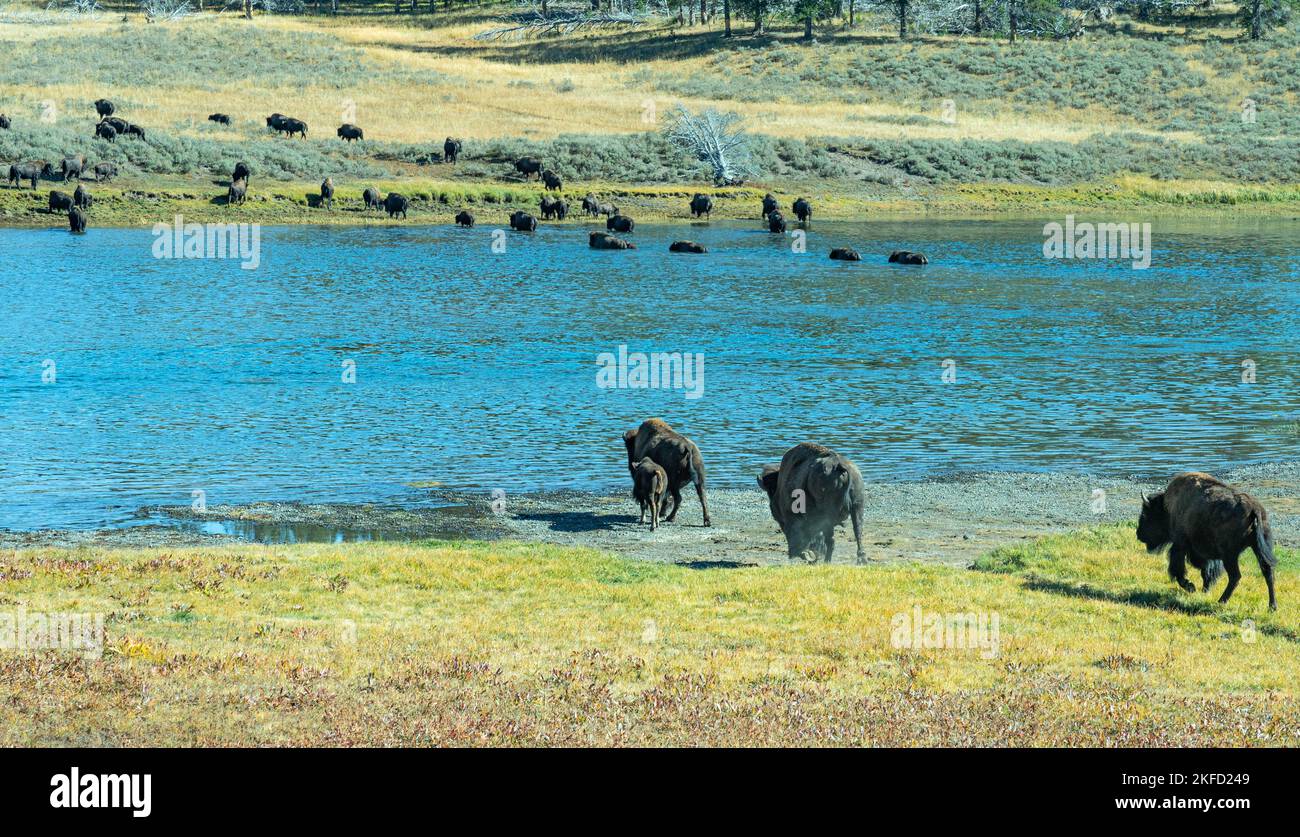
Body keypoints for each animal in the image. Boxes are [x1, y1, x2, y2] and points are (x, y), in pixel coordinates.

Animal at [1138, 473, 1279, 610]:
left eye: (1146, 514)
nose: (1139, 534)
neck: (1167, 508)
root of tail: (1254, 509)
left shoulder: (1180, 545)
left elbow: (1178, 569)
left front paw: (1191, 587)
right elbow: (1205, 570)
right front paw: (1204, 589)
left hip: (1230, 555)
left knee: (1236, 576)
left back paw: (1221, 601)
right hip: (1259, 547)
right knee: (1268, 572)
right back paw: (1272, 607)